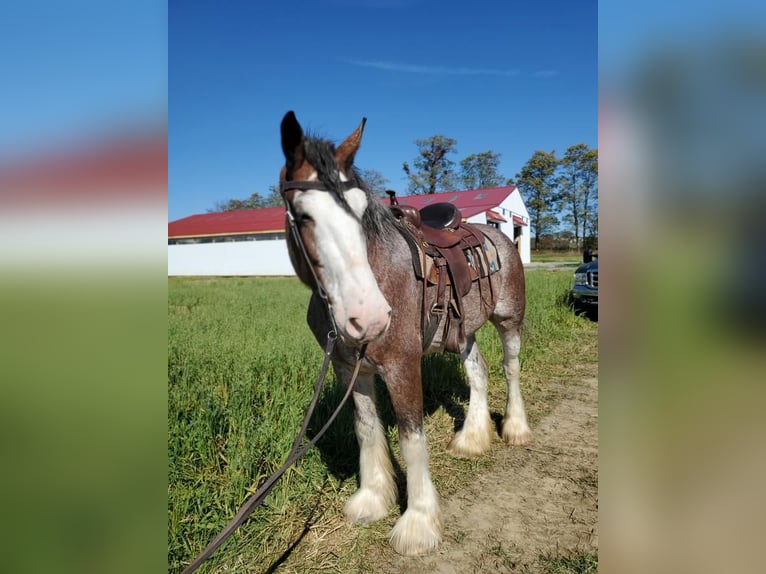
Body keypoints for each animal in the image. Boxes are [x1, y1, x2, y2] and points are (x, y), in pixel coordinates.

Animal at [280, 110, 532, 556]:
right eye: (303, 214)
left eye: (361, 210)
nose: (369, 316)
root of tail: (498, 234)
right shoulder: (350, 370)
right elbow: (366, 429)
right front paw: (372, 499)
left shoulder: (402, 365)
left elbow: (411, 439)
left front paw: (418, 522)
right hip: (462, 332)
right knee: (479, 372)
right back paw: (472, 439)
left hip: (509, 321)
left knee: (511, 368)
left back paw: (515, 429)